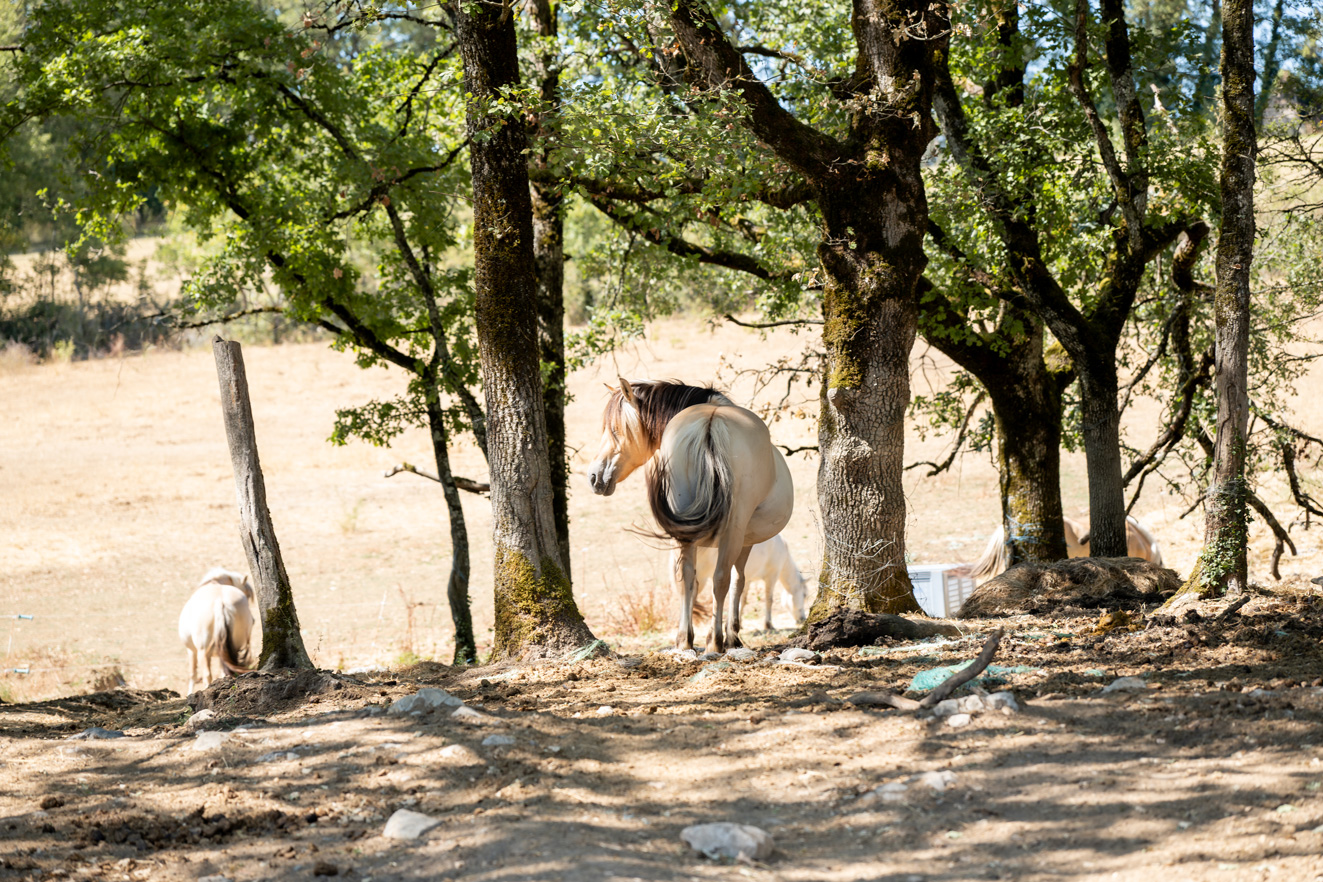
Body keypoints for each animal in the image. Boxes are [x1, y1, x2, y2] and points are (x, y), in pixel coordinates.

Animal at [588, 379, 794, 653]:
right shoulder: (744, 541)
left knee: (687, 578)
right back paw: (715, 641)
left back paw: (686, 640)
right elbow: (738, 581)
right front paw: (732, 635)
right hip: (732, 530)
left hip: (687, 530)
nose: (594, 477)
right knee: (720, 578)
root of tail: (711, 422)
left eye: (614, 429)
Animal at [672, 534, 809, 630]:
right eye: (804, 595)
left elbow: (741, 601)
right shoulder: (772, 576)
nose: (802, 619)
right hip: (701, 577)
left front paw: (739, 623)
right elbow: (769, 600)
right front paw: (768, 624)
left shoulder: (747, 580)